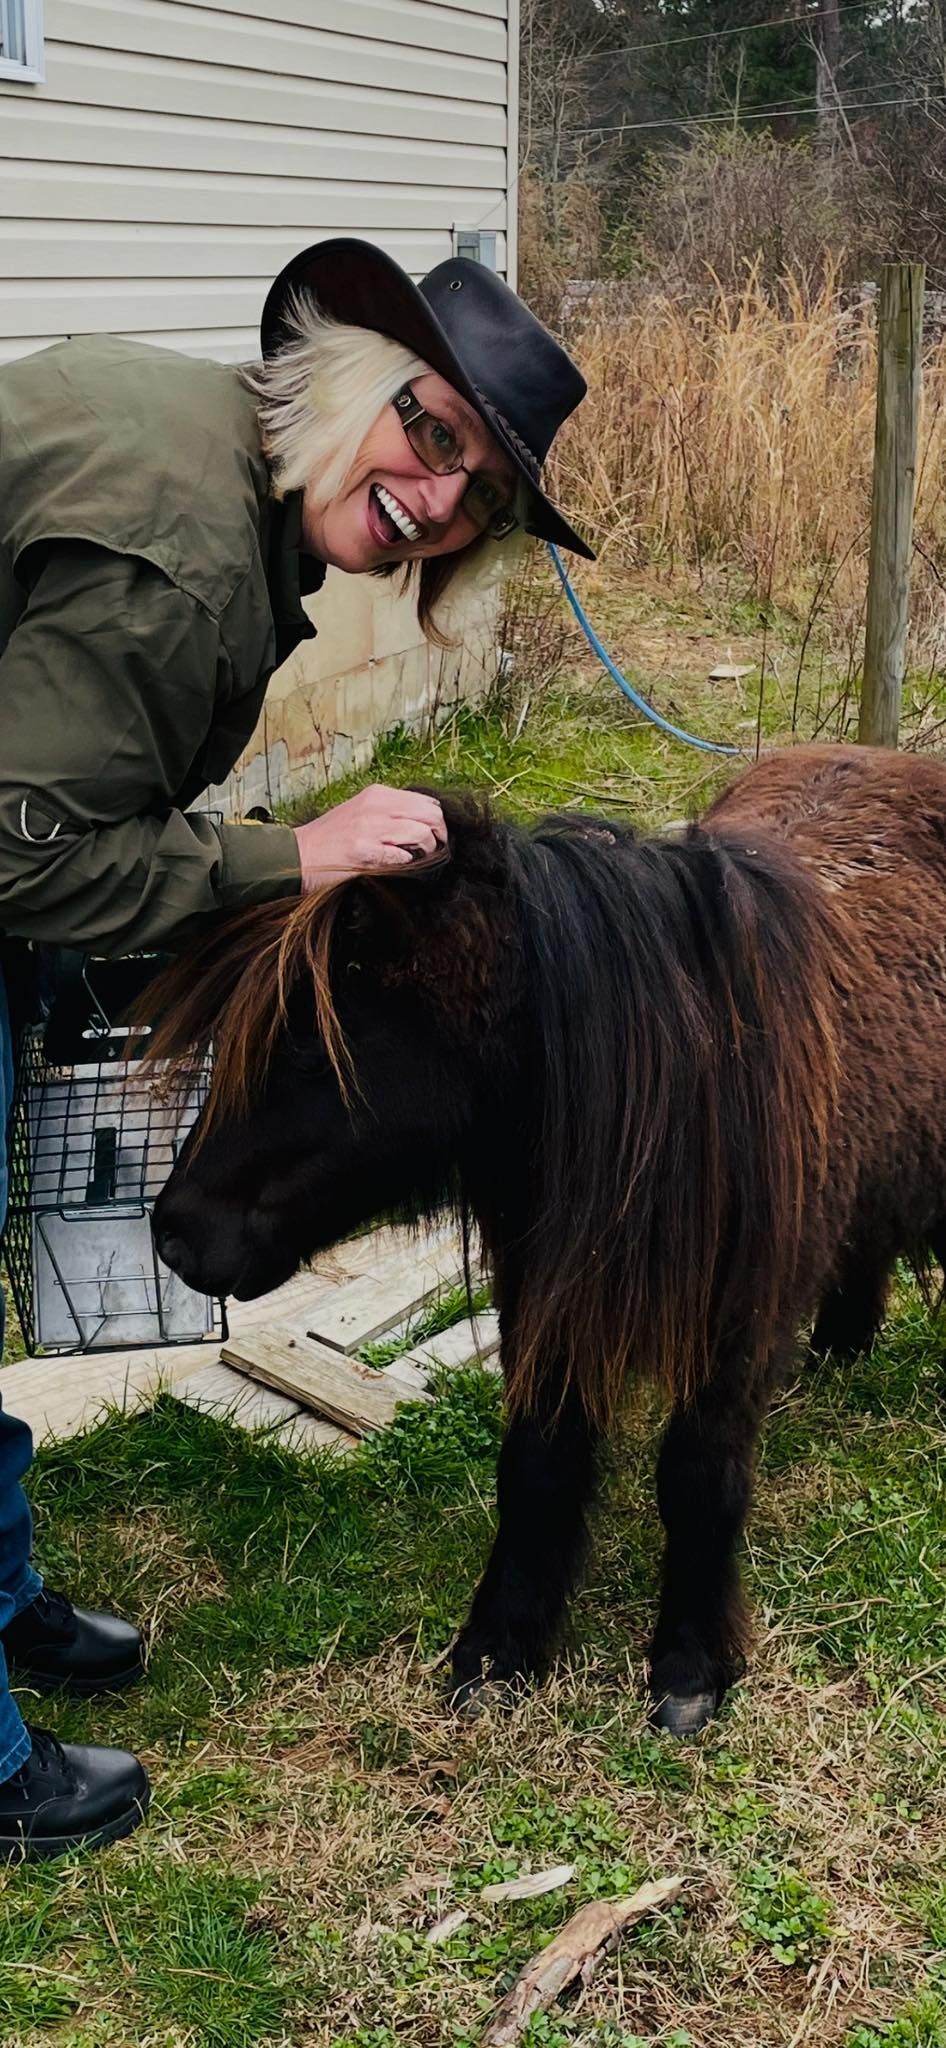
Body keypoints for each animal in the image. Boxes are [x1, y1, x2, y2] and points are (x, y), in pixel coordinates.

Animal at [149, 744, 946, 1736]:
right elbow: (537, 1466)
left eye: (309, 1048)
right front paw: (501, 1649)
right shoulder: (543, 1294)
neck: (679, 1084)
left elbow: (700, 1478)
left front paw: (689, 1665)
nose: (175, 1235)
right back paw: (842, 1345)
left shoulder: (732, 1325)